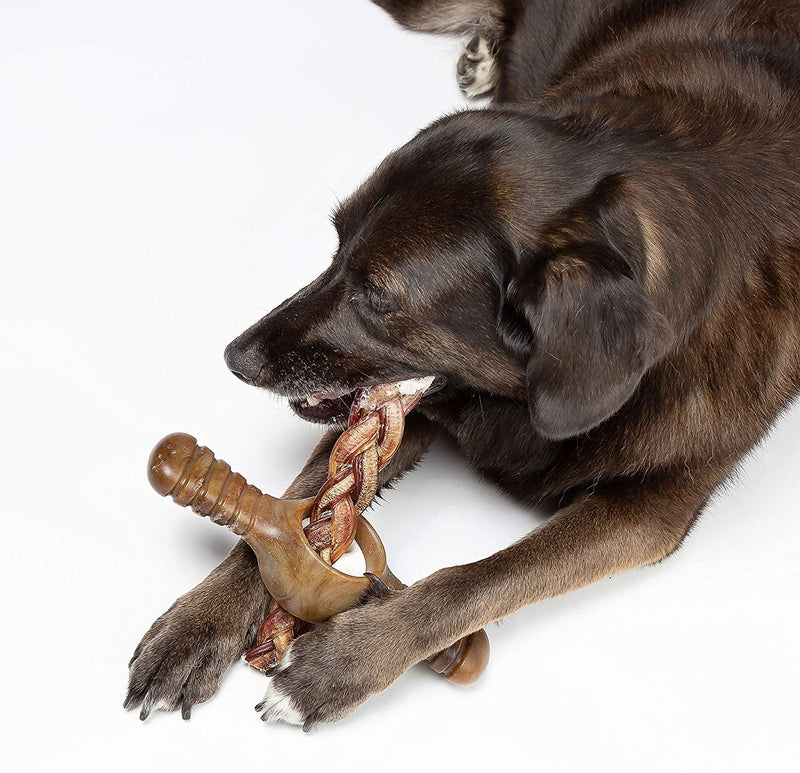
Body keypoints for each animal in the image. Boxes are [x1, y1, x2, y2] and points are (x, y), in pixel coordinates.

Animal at [125, 0, 800, 728]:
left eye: (378, 295)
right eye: (335, 245)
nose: (236, 357)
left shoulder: (649, 512)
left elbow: (478, 578)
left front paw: (344, 661)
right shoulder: (391, 408)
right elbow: (291, 507)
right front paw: (200, 623)